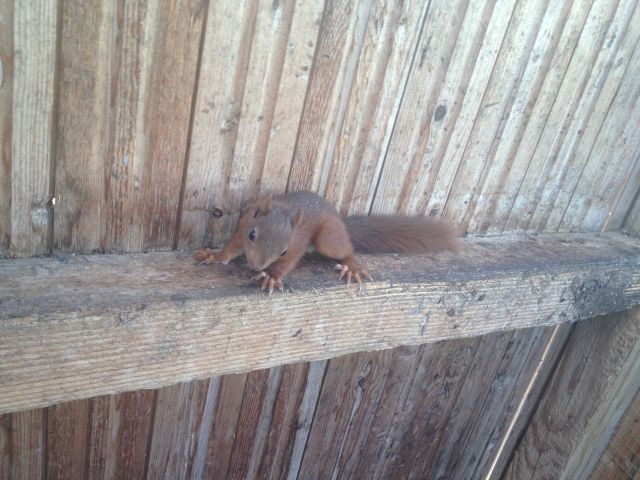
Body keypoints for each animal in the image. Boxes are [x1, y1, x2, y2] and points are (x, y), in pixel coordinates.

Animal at [194, 191, 459, 294]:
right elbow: (231, 248)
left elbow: (289, 263)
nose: (257, 266)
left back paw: (351, 266)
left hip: (328, 238)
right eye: (252, 235)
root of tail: (341, 222)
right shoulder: (242, 226)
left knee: (347, 249)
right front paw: (214, 255)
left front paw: (272, 276)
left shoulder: (298, 245)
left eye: (284, 251)